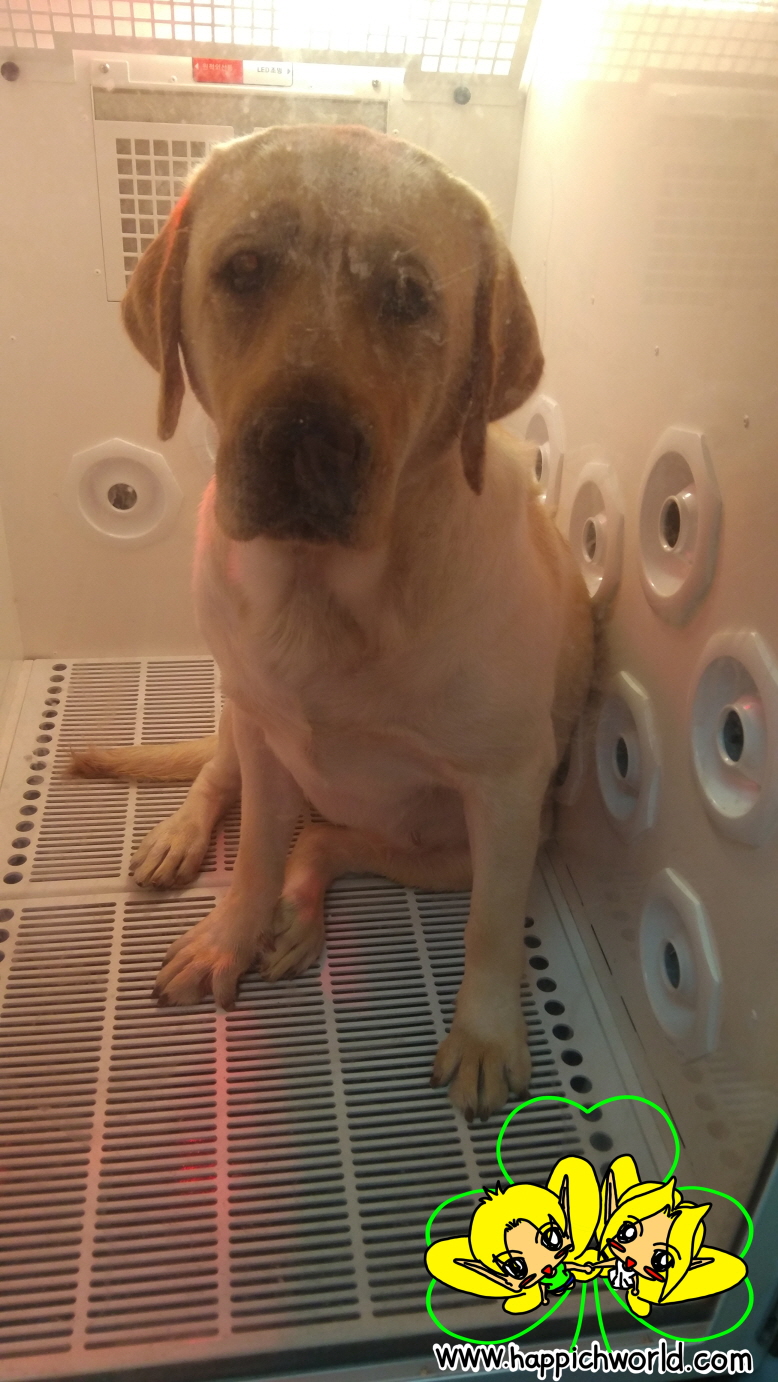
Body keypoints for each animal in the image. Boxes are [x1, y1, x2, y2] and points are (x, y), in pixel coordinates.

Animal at [71, 124, 594, 1122]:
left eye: (410, 295)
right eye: (243, 269)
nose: (307, 437)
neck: (322, 598)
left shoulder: (508, 794)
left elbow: (490, 933)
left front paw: (485, 1036)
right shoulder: (266, 731)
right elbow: (253, 854)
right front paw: (229, 934)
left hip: (478, 844)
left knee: (330, 842)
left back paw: (301, 913)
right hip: (236, 715)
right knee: (227, 785)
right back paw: (186, 839)